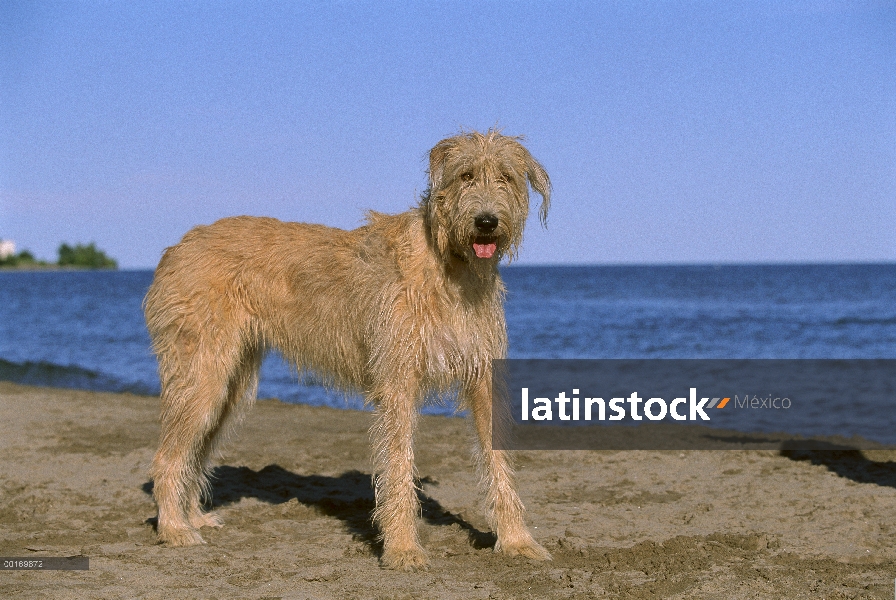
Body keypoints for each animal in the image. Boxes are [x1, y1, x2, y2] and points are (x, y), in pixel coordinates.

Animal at [145, 129, 552, 568]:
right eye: (466, 175)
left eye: (506, 177)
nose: (486, 222)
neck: (450, 264)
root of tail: (176, 248)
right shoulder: (397, 380)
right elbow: (398, 465)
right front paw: (403, 549)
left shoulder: (482, 374)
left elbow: (498, 461)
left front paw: (516, 540)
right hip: (202, 372)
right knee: (168, 456)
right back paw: (174, 529)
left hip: (229, 386)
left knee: (195, 450)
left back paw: (193, 517)